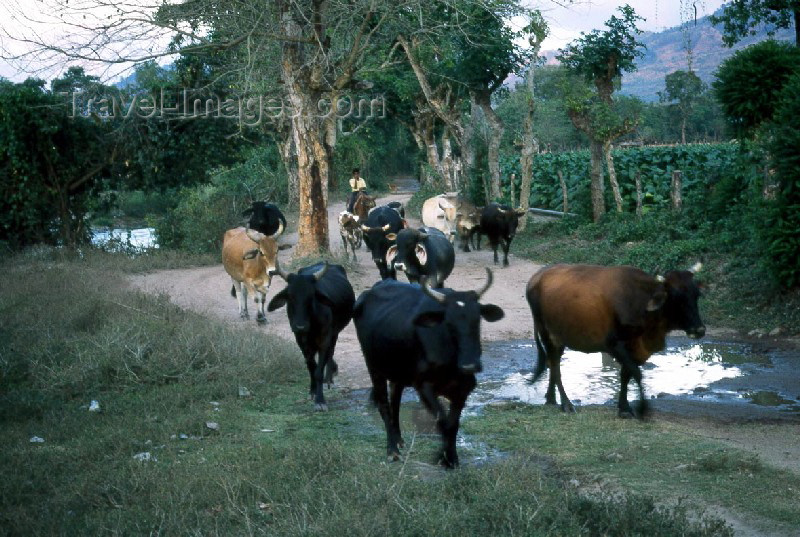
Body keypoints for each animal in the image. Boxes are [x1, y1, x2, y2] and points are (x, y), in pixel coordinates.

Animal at [268, 262, 354, 408]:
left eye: (311, 296)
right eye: (290, 296)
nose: (300, 326)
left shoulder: (324, 338)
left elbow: (318, 371)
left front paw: (320, 400)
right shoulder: (300, 340)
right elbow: (311, 366)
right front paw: (313, 391)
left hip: (334, 333)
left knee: (331, 352)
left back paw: (329, 377)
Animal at [354, 270, 504, 466]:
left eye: (477, 319)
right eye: (449, 323)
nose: (470, 365)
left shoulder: (463, 388)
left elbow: (453, 424)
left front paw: (451, 457)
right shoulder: (424, 386)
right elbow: (443, 421)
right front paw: (443, 456)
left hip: (398, 373)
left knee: (395, 402)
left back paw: (399, 440)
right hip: (374, 367)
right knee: (384, 406)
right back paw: (392, 450)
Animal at [524, 262, 708, 416]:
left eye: (696, 294)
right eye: (675, 297)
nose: (699, 330)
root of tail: (536, 277)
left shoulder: (633, 348)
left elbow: (626, 375)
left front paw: (624, 407)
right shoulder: (614, 344)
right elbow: (636, 373)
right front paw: (641, 408)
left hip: (560, 337)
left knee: (551, 362)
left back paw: (551, 398)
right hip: (546, 332)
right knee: (555, 366)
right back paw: (566, 403)